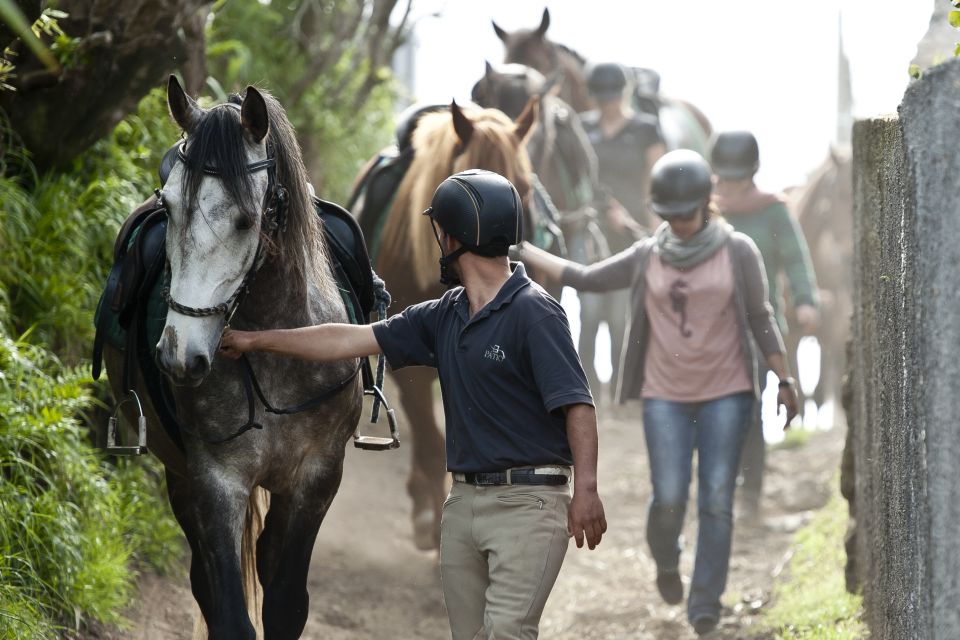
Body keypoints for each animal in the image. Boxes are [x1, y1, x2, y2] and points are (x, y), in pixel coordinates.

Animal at [103, 77, 362, 636]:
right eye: (169, 207)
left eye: (246, 220)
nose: (180, 356)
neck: (274, 346)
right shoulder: (214, 480)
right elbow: (228, 611)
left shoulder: (317, 477)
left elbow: (285, 601)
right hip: (178, 475)